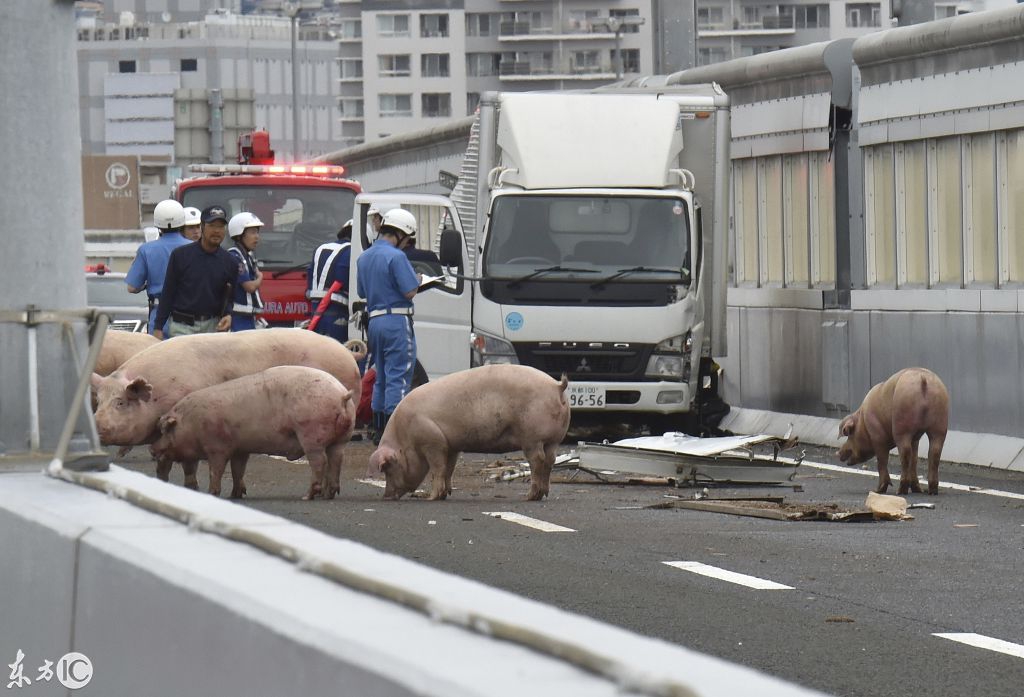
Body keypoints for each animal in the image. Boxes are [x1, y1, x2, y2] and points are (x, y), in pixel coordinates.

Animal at [148, 364, 356, 499]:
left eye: (165, 430)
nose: (152, 448)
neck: (192, 423)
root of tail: (342, 395)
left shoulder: (217, 447)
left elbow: (216, 470)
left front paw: (213, 493)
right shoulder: (241, 449)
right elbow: (238, 469)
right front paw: (236, 495)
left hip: (311, 435)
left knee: (320, 462)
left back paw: (308, 496)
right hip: (342, 439)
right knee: (337, 460)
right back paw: (329, 494)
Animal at [368, 364, 573, 499]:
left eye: (388, 468)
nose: (386, 496)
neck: (405, 438)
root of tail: (556, 386)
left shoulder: (433, 441)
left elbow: (437, 468)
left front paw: (432, 497)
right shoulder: (451, 446)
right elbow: (449, 469)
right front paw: (446, 494)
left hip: (532, 437)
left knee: (537, 460)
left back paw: (529, 496)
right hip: (554, 439)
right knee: (550, 460)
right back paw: (543, 494)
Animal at [839, 364, 950, 495]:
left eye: (850, 434)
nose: (838, 452)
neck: (863, 421)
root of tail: (923, 379)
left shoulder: (877, 437)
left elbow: (881, 461)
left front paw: (877, 491)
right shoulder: (915, 438)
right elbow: (915, 459)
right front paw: (916, 490)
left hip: (902, 424)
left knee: (905, 453)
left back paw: (900, 491)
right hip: (940, 421)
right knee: (934, 453)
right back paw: (930, 491)